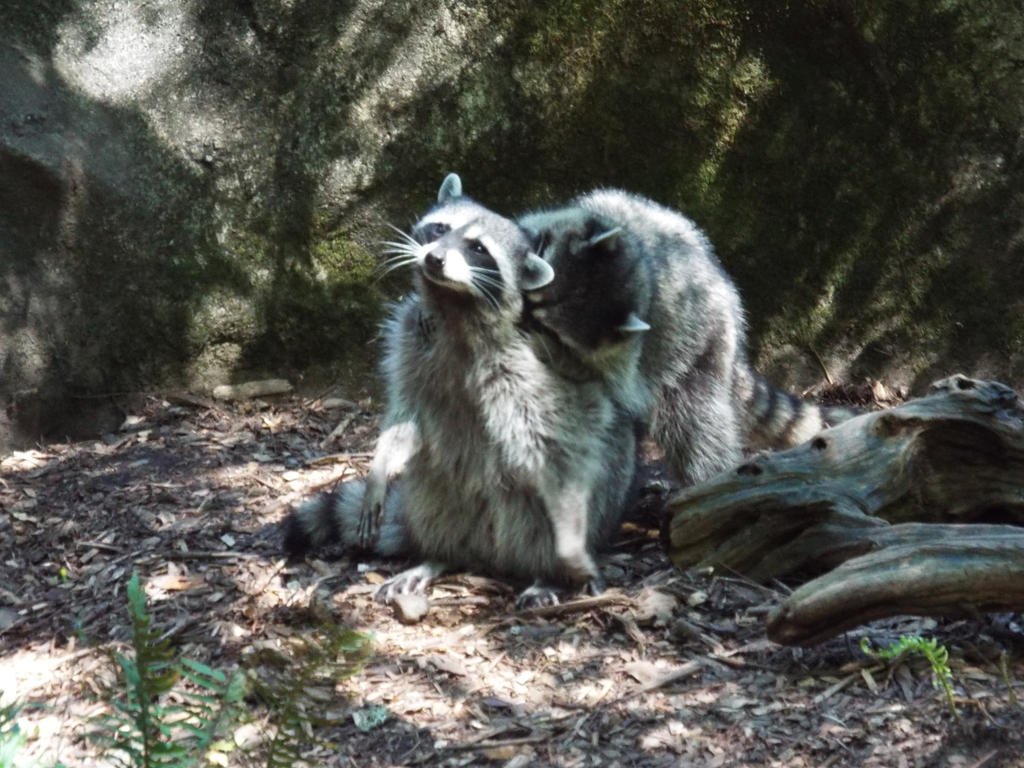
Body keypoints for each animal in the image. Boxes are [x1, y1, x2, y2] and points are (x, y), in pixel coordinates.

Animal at [284, 174, 638, 607]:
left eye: (478, 248)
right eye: (440, 229)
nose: (434, 260)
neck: (452, 302)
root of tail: (491, 554)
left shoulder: (525, 373)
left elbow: (550, 443)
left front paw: (567, 557)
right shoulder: (409, 340)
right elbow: (403, 417)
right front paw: (379, 470)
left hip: (597, 492)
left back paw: (548, 573)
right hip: (439, 495)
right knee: (436, 497)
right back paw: (440, 556)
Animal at [519, 190, 857, 486]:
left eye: (550, 329)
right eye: (540, 252)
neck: (643, 272)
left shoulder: (620, 362)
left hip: (697, 359)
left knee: (698, 431)